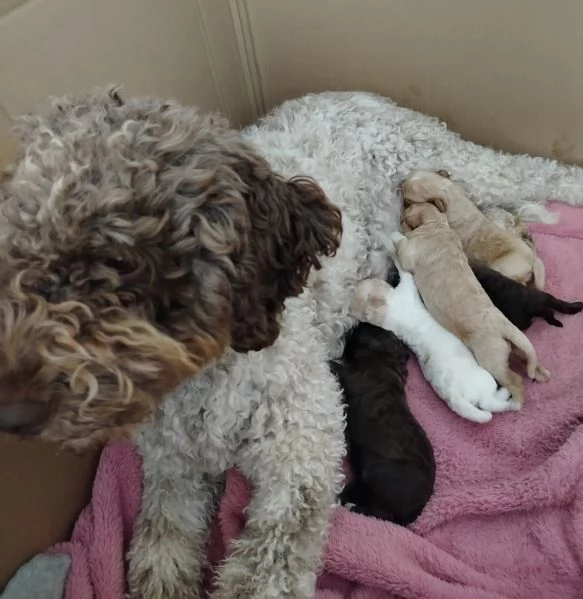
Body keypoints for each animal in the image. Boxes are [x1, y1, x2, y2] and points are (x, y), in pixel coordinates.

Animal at [334, 324, 434, 524]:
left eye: (371, 329)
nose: (357, 323)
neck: (387, 358)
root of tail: (415, 511)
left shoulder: (354, 375)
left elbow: (336, 366)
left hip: (375, 476)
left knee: (381, 514)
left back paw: (352, 506)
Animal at [352, 264, 520, 424]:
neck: (385, 311)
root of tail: (454, 395)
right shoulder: (407, 289)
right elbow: (406, 274)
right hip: (485, 379)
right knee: (489, 402)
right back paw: (508, 396)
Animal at [392, 203, 552, 408]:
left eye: (408, 209)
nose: (402, 210)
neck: (437, 224)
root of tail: (504, 325)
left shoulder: (412, 252)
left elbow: (403, 246)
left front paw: (395, 234)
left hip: (491, 358)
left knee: (514, 379)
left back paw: (515, 403)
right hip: (515, 346)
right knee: (528, 359)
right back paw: (541, 373)